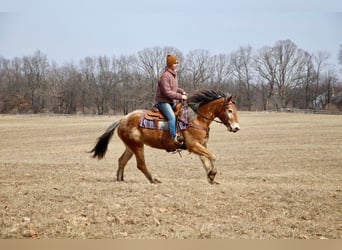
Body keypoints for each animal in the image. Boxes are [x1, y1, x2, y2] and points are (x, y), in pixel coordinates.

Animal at [91, 89, 240, 185]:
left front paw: (211, 178)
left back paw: (120, 179)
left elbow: (206, 160)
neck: (196, 119)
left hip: (130, 146)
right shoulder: (193, 146)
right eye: (229, 110)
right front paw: (212, 174)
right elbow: (212, 156)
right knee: (141, 164)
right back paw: (154, 180)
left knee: (122, 160)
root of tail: (122, 119)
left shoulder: (201, 145)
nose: (236, 128)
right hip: (137, 146)